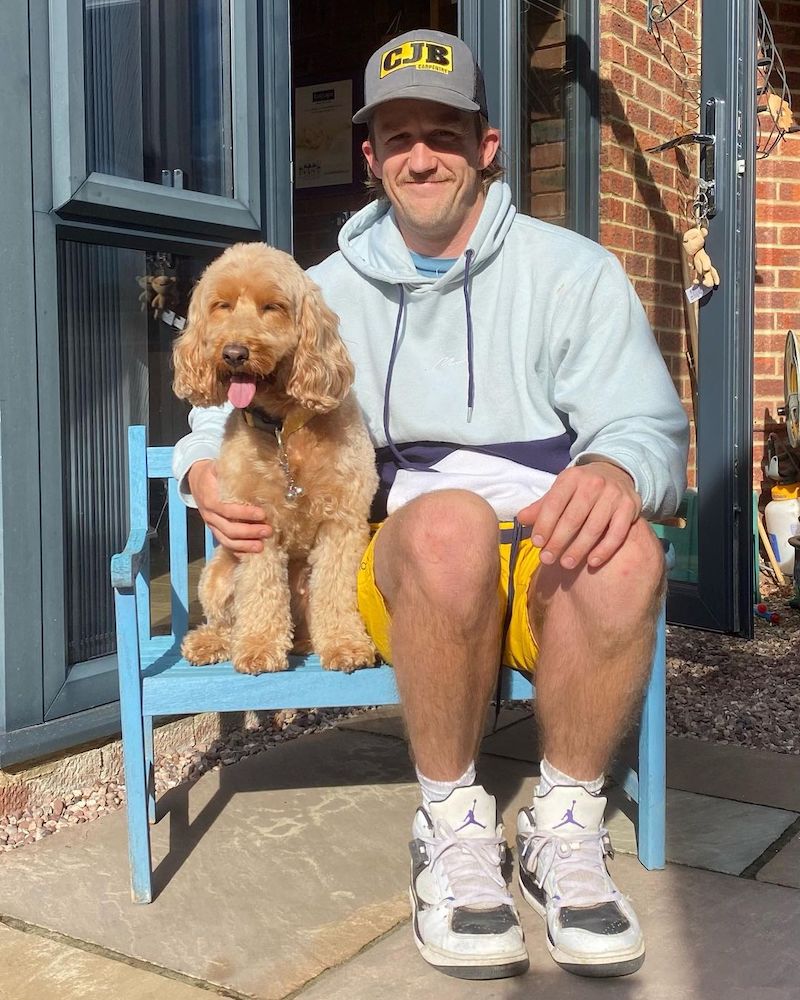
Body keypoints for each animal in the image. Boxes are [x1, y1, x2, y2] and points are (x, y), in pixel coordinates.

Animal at [172, 243, 378, 676]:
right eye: (222, 305)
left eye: (273, 307)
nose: (234, 353)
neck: (285, 429)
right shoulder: (255, 526)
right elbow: (261, 590)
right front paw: (259, 648)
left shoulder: (342, 523)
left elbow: (335, 591)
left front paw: (345, 644)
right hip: (217, 573)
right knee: (227, 618)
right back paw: (213, 641)